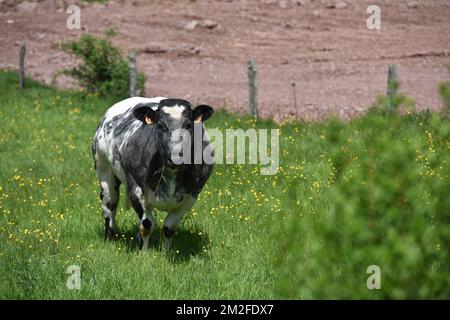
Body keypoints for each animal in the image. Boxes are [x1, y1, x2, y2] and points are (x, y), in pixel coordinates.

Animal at [92, 96, 214, 251]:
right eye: (161, 126)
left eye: (188, 125)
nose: (175, 157)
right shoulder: (136, 188)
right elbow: (146, 225)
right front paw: (143, 253)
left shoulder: (192, 195)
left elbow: (169, 227)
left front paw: (167, 252)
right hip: (104, 171)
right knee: (109, 205)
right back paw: (110, 239)